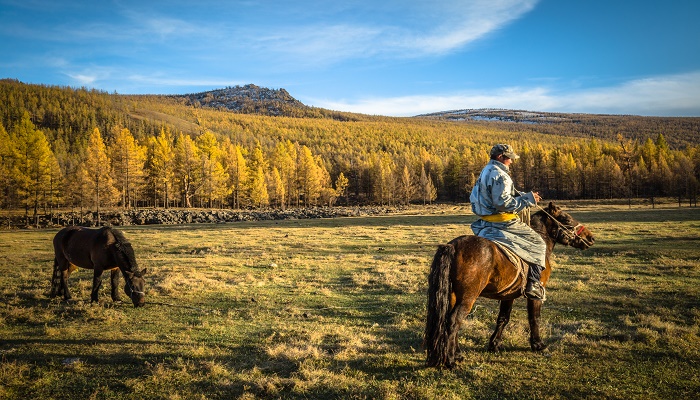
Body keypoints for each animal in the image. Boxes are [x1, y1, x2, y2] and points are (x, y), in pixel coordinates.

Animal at [424, 202, 595, 368]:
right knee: (453, 322)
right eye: (566, 219)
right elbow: (534, 318)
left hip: (454, 296)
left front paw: (494, 344)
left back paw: (457, 355)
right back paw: (450, 361)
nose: (591, 238)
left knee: (449, 321)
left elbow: (503, 318)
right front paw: (538, 344)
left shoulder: (508, 295)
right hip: (468, 298)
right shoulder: (535, 296)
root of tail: (453, 246)